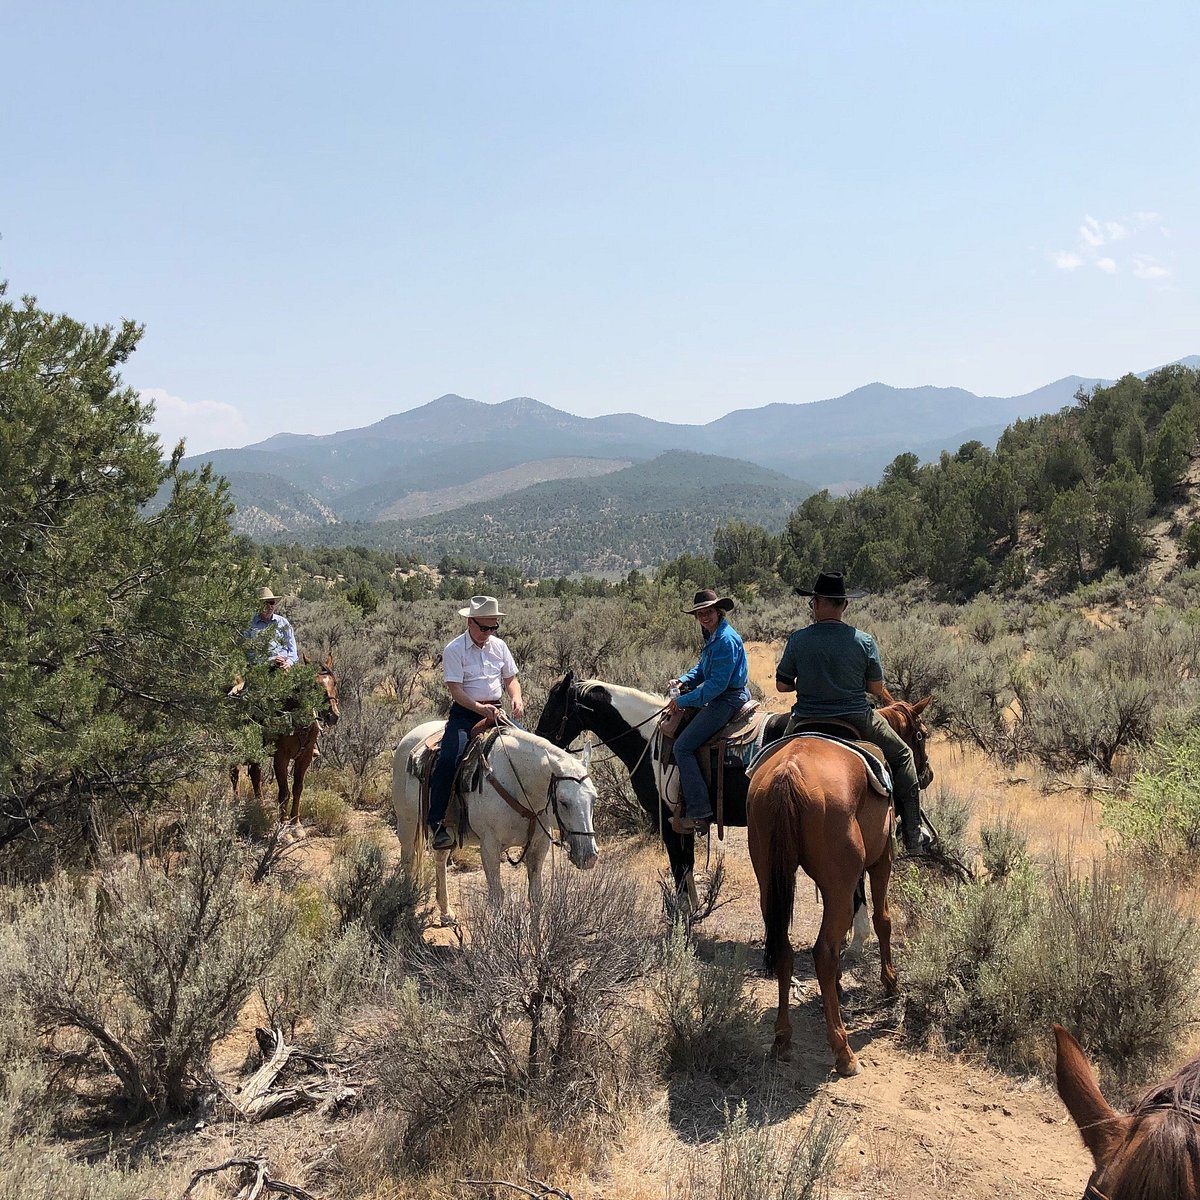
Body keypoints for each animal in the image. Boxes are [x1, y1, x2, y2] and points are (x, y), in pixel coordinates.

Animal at [231, 657, 340, 835]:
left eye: (334, 682)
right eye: (313, 685)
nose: (333, 716)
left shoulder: (305, 757)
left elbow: (297, 788)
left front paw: (296, 824)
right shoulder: (280, 757)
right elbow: (284, 792)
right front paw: (283, 826)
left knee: (255, 774)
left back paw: (259, 806)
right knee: (235, 773)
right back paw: (235, 805)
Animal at [393, 715, 600, 921]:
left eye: (594, 798)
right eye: (564, 802)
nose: (589, 856)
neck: (518, 785)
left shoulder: (539, 846)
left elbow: (536, 897)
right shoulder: (490, 847)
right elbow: (496, 897)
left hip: (447, 832)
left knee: (440, 858)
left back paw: (445, 911)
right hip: (407, 822)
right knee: (408, 859)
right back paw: (406, 903)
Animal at [748, 696, 936, 1080]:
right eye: (922, 734)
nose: (926, 775)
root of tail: (789, 772)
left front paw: (838, 985)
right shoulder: (881, 861)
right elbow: (882, 919)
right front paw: (890, 983)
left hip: (769, 880)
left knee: (786, 948)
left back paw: (782, 1039)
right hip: (837, 882)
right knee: (822, 951)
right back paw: (843, 1051)